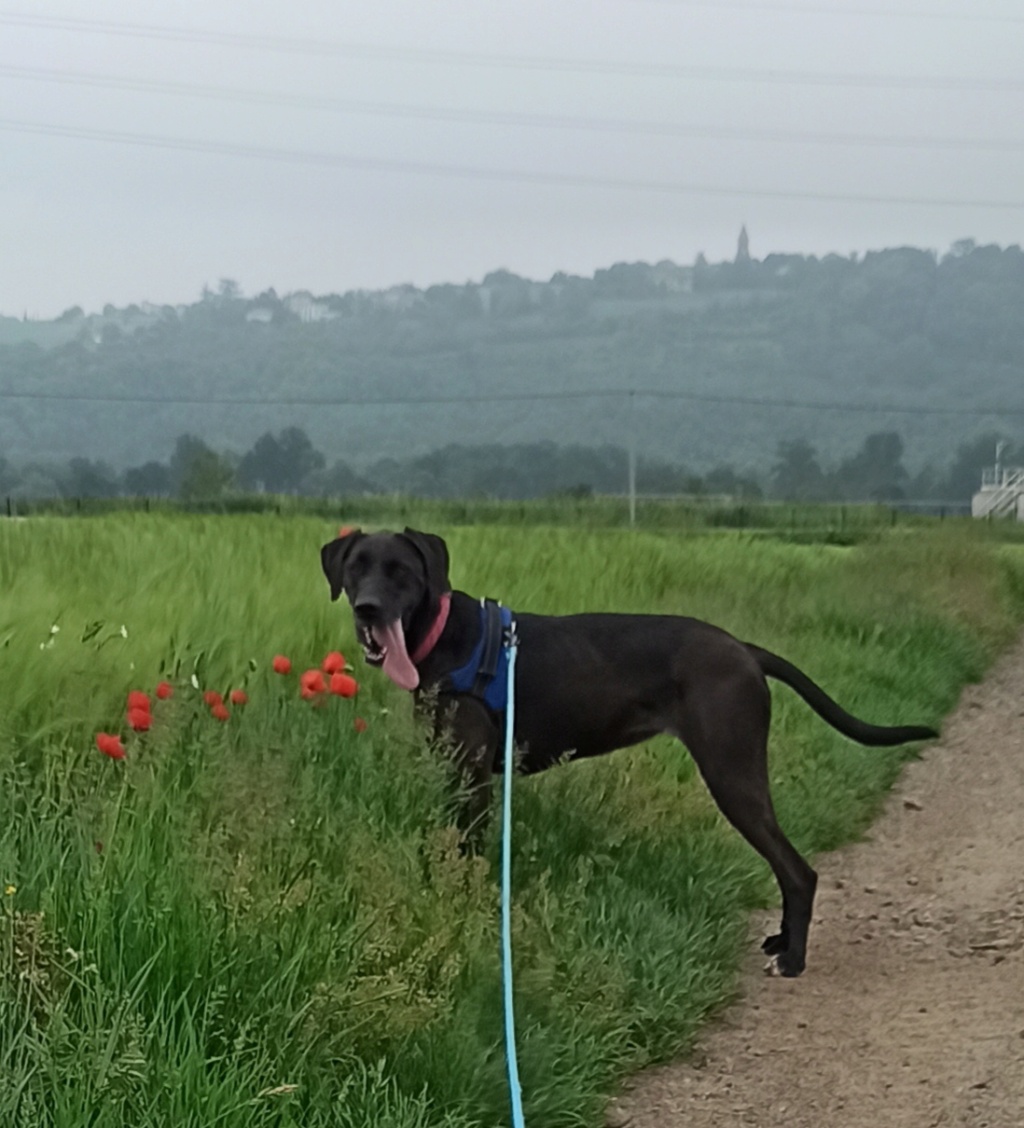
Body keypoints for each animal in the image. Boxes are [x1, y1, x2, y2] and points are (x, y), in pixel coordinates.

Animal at [320, 523, 933, 974]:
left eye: (403, 572)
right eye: (356, 568)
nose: (368, 608)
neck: (445, 637)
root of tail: (743, 649)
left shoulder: (473, 778)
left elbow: (467, 855)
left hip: (732, 773)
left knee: (798, 871)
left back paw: (794, 957)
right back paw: (782, 943)